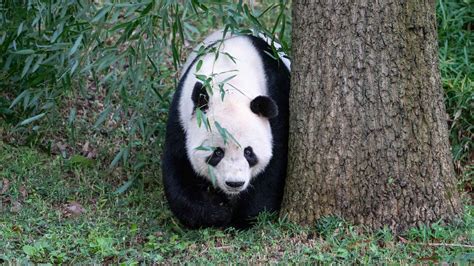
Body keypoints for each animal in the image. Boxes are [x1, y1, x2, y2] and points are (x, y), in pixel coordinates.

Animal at [161, 29, 290, 229]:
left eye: (249, 152)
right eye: (217, 153)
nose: (234, 183)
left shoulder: (278, 100)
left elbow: (274, 165)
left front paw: (245, 217)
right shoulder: (182, 114)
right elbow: (179, 165)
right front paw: (217, 213)